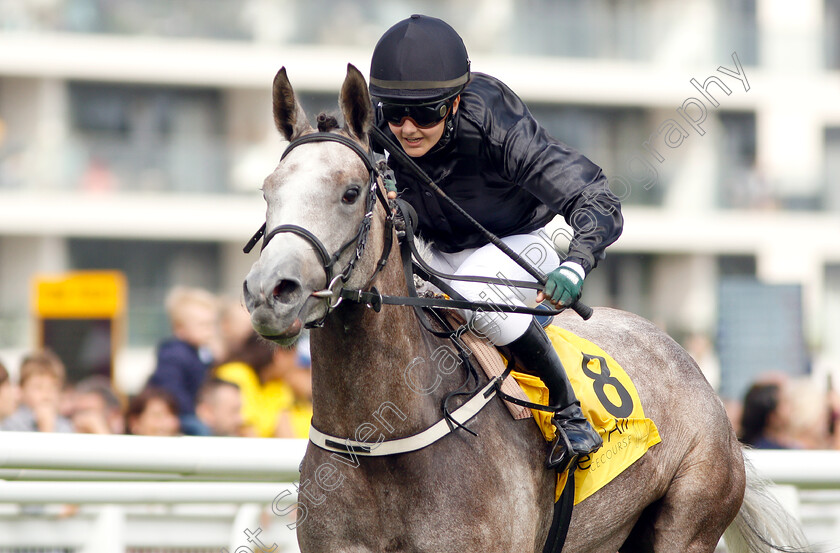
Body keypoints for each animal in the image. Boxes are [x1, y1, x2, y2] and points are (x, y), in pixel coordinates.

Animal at [243, 63, 808, 552]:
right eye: (267, 191)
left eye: (351, 192)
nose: (272, 292)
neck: (381, 440)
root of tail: (688, 362)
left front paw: (566, 277)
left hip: (688, 519)